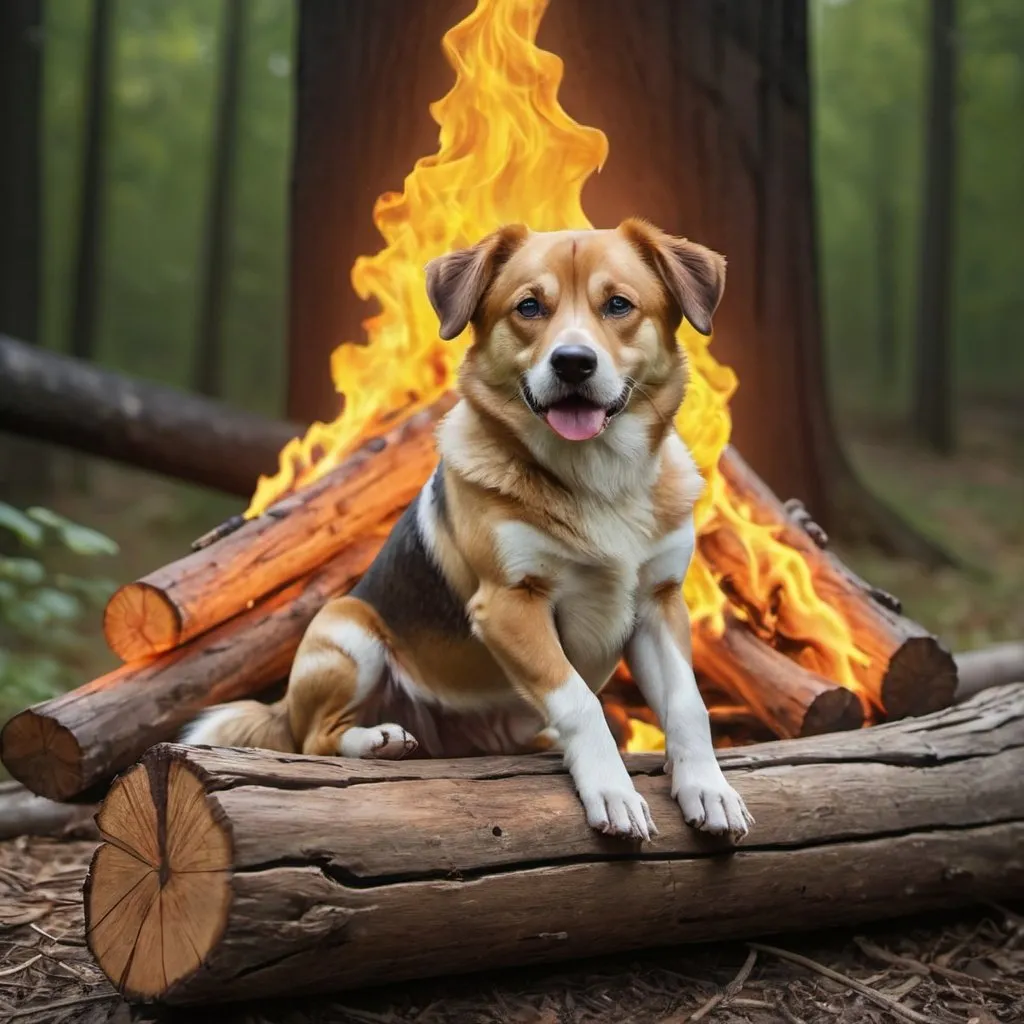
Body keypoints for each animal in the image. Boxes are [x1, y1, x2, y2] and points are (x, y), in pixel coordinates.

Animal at [182, 218, 753, 839]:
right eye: (529, 306)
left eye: (619, 304)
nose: (573, 362)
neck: (599, 479)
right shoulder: (509, 605)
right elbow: (581, 702)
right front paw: (613, 791)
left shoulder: (658, 604)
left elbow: (688, 706)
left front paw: (709, 790)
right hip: (349, 631)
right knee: (315, 738)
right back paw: (379, 739)